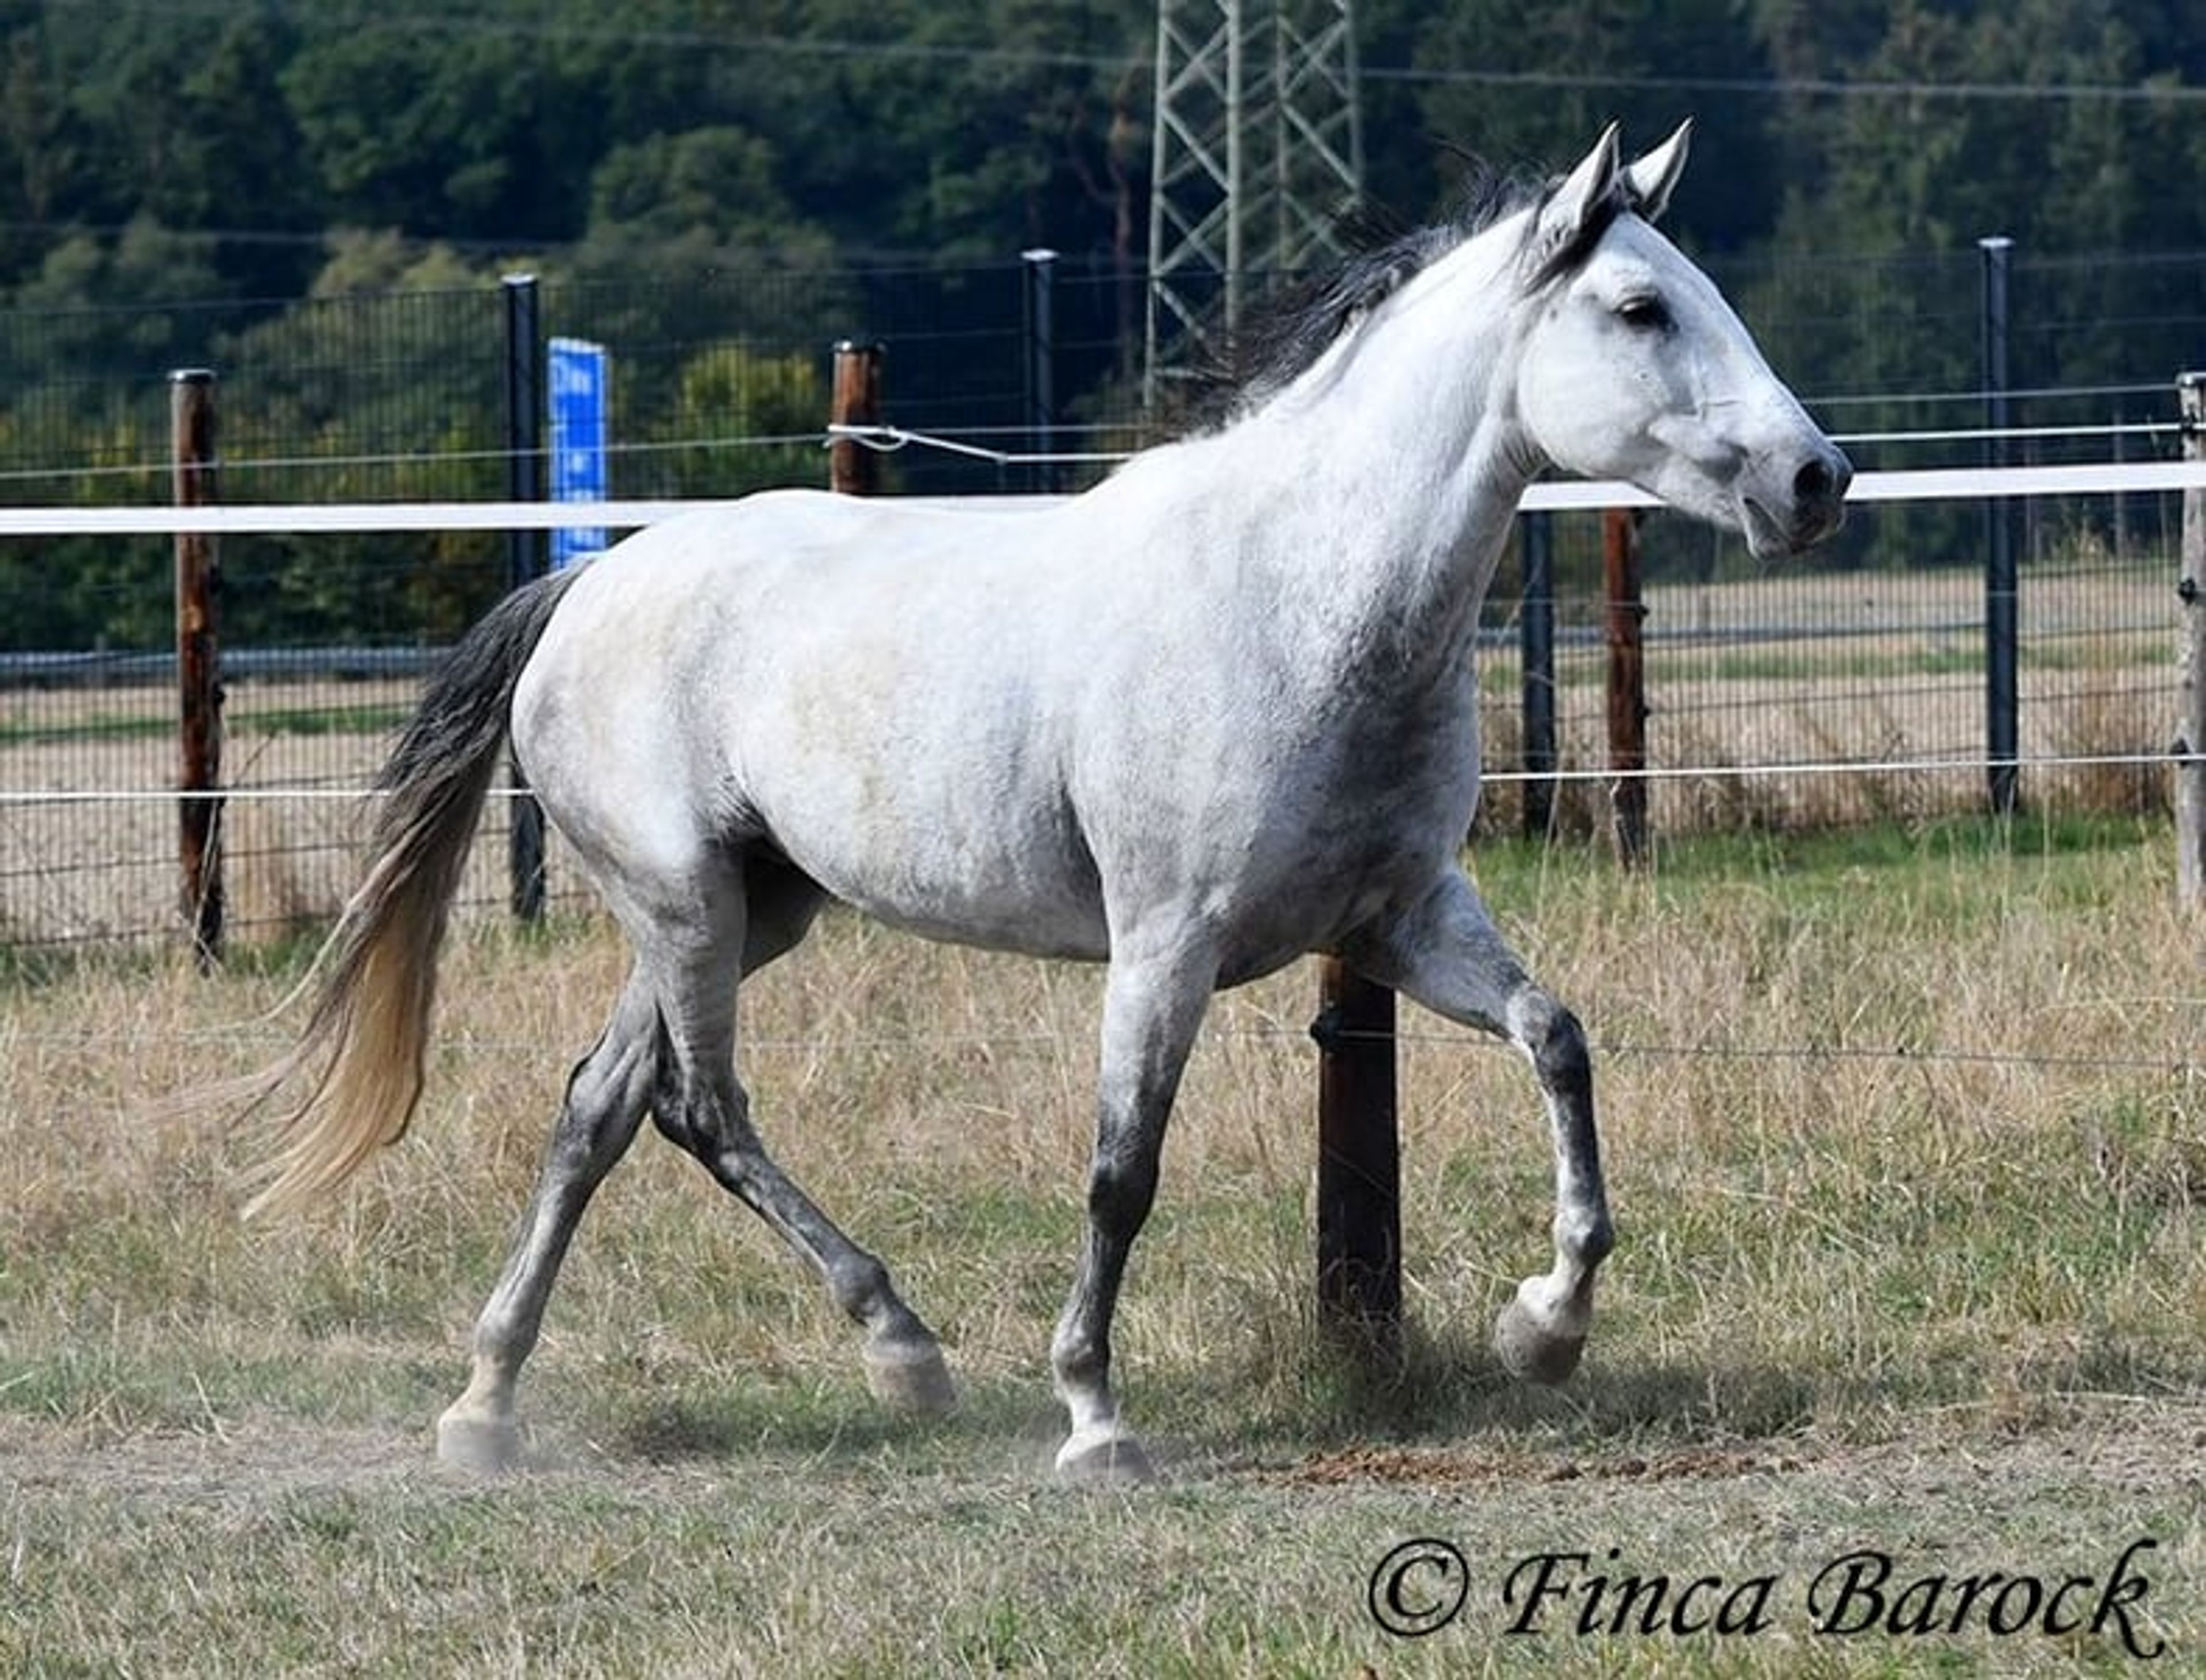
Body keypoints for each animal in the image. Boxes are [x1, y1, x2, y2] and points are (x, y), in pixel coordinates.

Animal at [223, 122, 1850, 1483]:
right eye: (1639, 311)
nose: (1815, 479)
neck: (1294, 597)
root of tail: (586, 584)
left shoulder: (1398, 920)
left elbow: (1557, 1039)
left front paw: (1545, 1326)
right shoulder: (1164, 943)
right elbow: (1122, 1172)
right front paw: (1091, 1417)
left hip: (744, 909)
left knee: (595, 1110)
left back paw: (487, 1405)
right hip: (685, 904)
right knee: (699, 1108)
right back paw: (903, 1353)